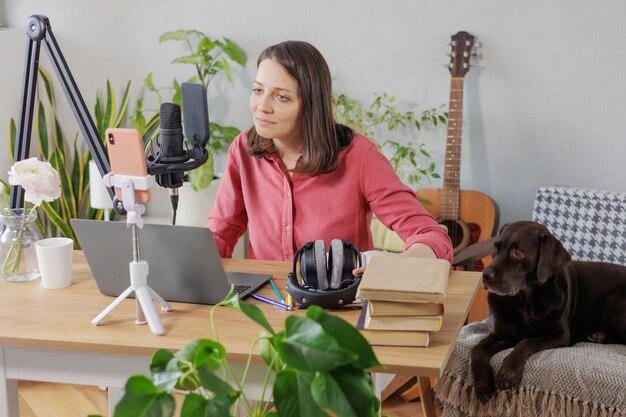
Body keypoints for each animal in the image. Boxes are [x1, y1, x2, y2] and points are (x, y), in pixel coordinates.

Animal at [468, 219, 624, 402]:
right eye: (496, 248)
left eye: (518, 253)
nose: (485, 275)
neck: (525, 303)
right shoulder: (502, 335)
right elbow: (477, 350)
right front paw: (483, 384)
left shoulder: (560, 335)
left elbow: (527, 341)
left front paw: (508, 371)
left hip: (612, 303)